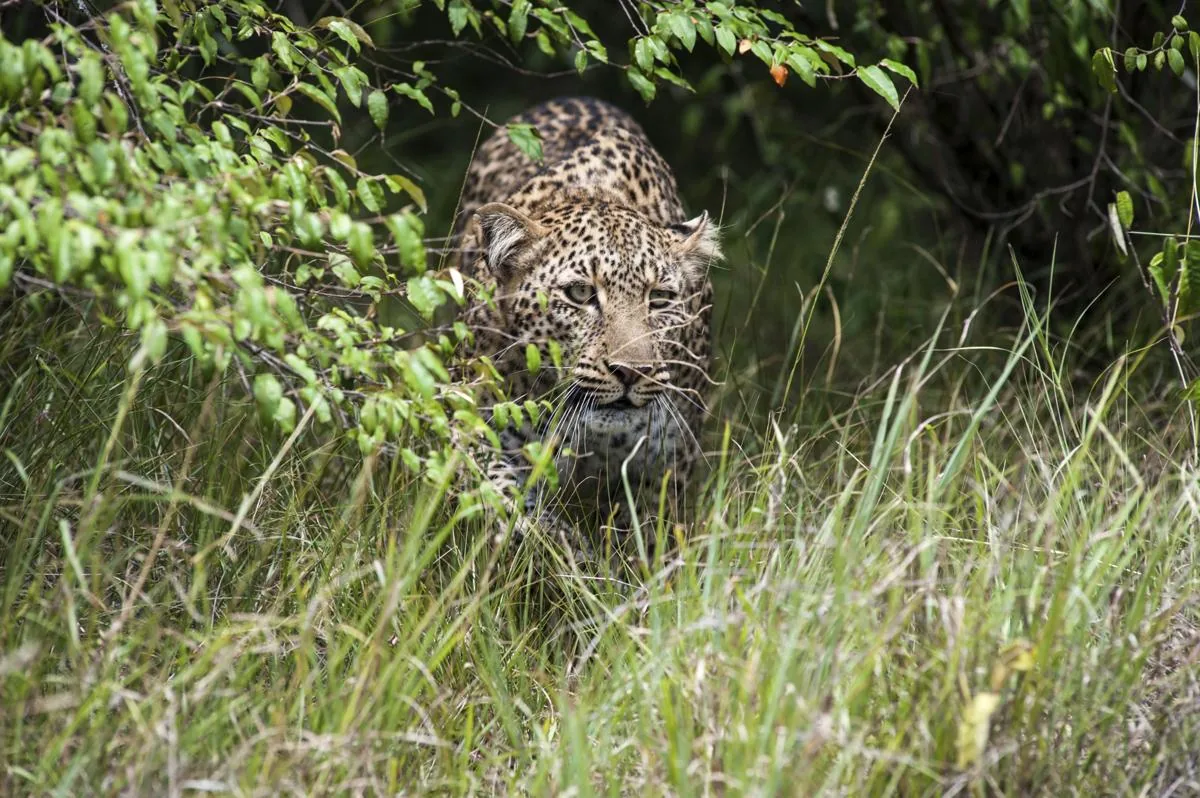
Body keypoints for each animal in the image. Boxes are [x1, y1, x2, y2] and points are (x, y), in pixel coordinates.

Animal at [452, 96, 721, 555]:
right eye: (580, 294)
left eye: (659, 299)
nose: (632, 372)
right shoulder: (471, 419)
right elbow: (502, 495)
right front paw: (560, 548)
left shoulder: (672, 454)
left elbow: (651, 533)